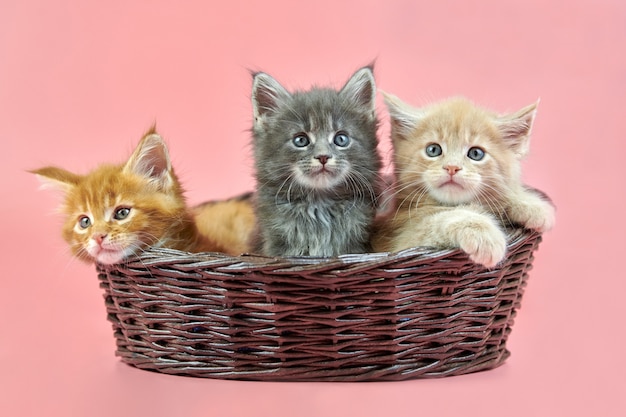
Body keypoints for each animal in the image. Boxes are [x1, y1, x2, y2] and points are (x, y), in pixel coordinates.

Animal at [370, 94, 552, 266]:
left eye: (476, 153)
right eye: (433, 150)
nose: (452, 167)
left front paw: (531, 204)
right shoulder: (399, 240)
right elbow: (436, 220)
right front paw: (482, 233)